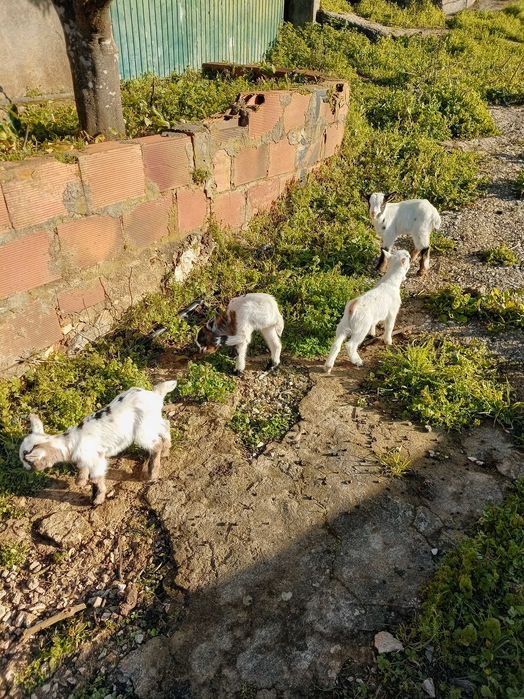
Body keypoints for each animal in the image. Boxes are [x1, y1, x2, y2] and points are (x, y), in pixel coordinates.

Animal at [19, 381, 177, 505]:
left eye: (27, 461)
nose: (25, 468)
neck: (70, 443)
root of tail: (155, 394)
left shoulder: (97, 460)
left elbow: (96, 479)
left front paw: (97, 499)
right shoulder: (84, 459)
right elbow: (83, 469)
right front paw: (80, 481)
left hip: (142, 430)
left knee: (155, 444)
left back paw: (152, 473)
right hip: (152, 421)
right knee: (165, 425)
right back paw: (166, 450)